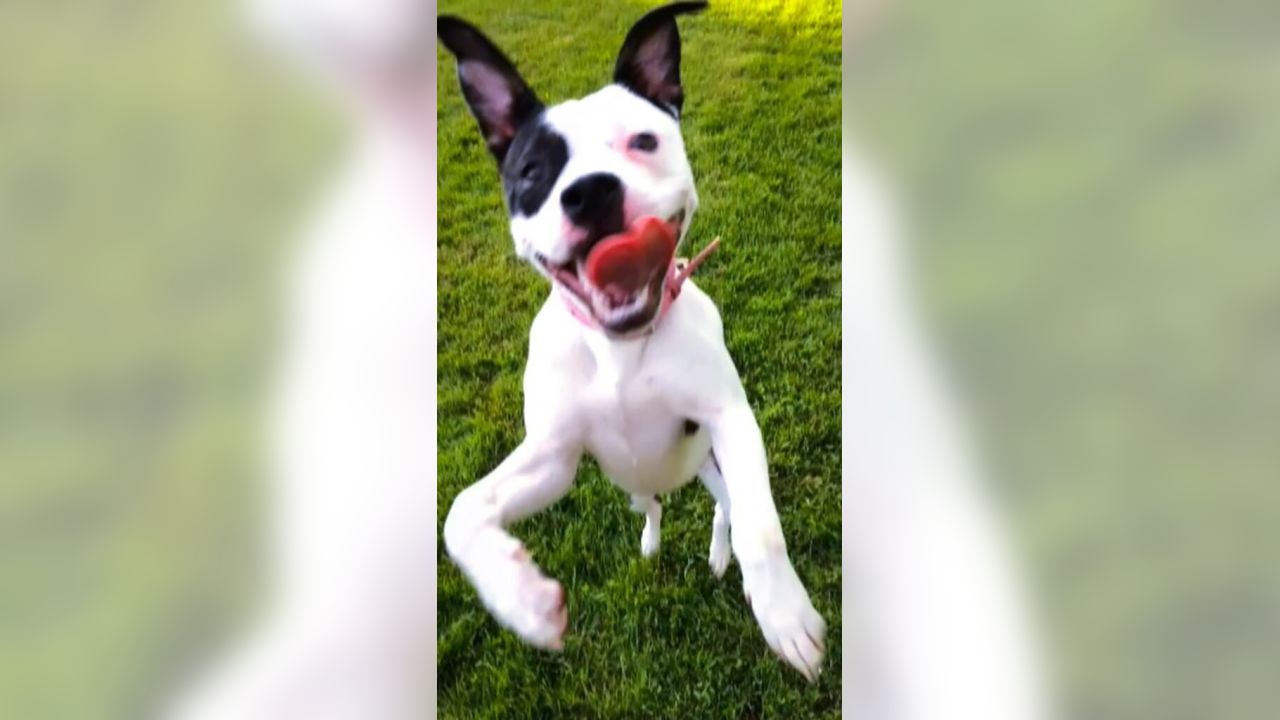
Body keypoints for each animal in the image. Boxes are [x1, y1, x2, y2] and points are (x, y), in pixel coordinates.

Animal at [440, 1, 829, 676]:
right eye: (532, 171)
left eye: (643, 141)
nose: (590, 191)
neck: (621, 348)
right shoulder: (554, 457)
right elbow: (463, 511)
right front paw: (525, 602)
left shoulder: (729, 418)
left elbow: (762, 529)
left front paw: (787, 618)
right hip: (627, 481)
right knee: (650, 505)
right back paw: (650, 542)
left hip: (711, 463)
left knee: (727, 509)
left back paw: (722, 559)